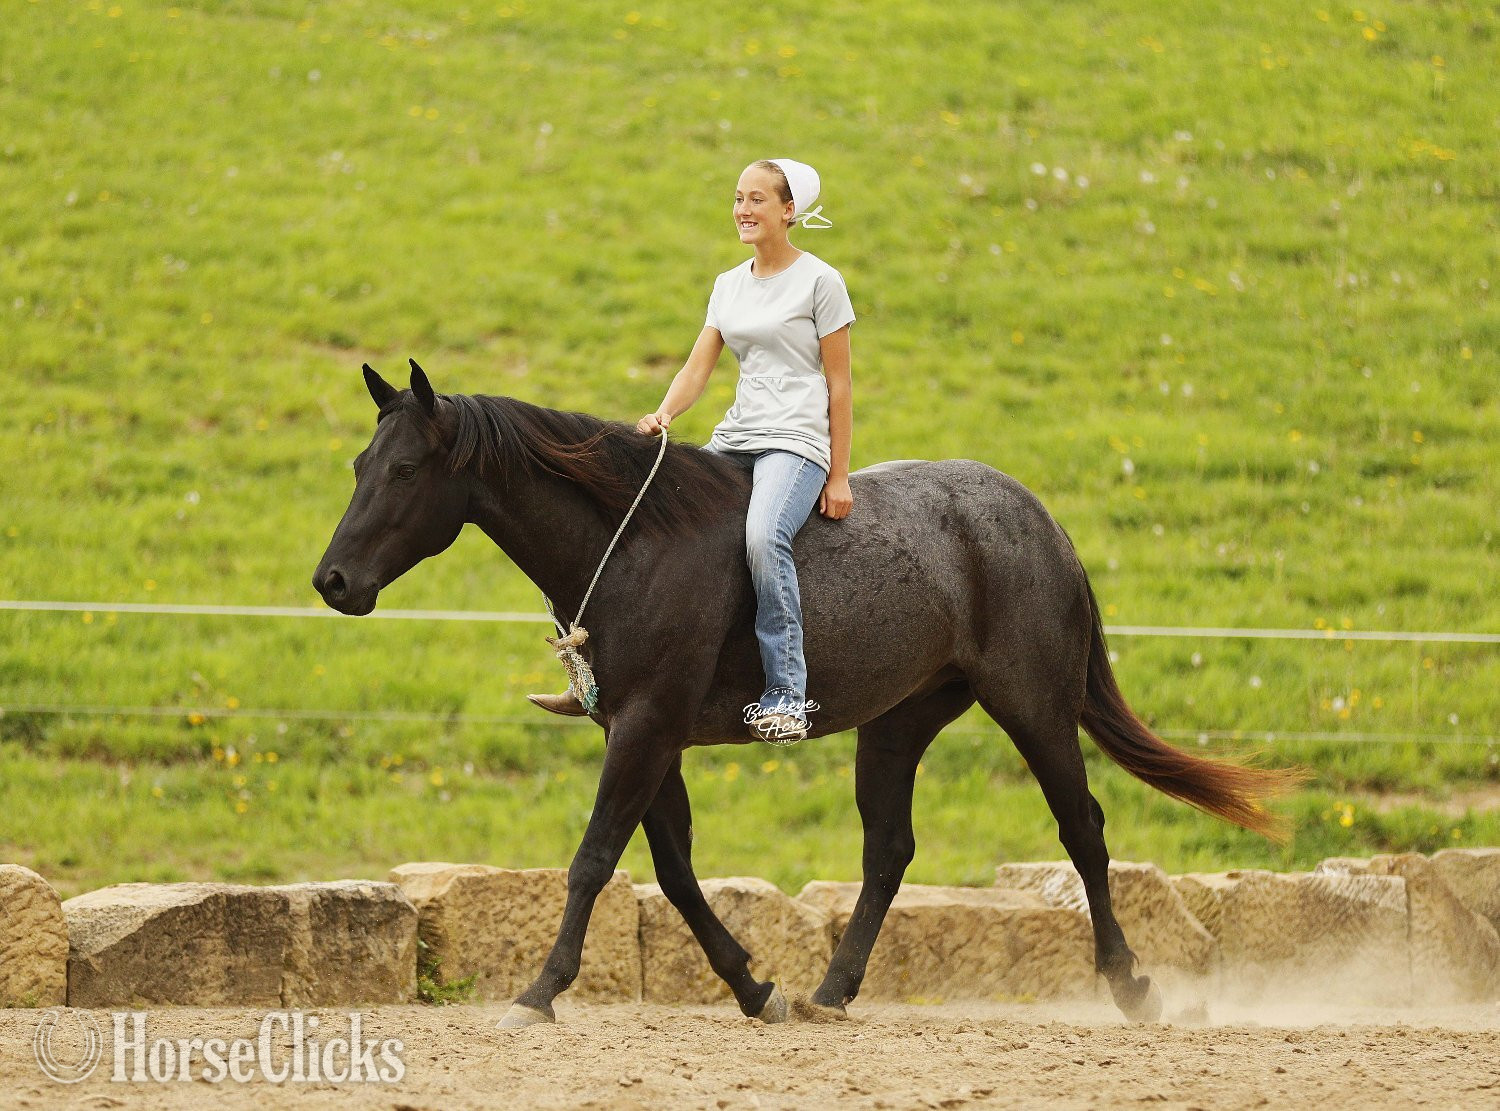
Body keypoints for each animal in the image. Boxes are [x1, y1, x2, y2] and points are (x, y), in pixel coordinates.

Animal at [313, 361, 1291, 1028]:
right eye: (360, 461)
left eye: (404, 472)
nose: (332, 581)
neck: (636, 543)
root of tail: (1037, 520)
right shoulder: (644, 734)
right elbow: (673, 870)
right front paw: (755, 985)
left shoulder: (646, 728)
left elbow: (594, 859)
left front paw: (541, 989)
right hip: (897, 725)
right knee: (889, 851)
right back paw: (832, 988)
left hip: (1035, 707)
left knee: (1082, 830)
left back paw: (1132, 986)